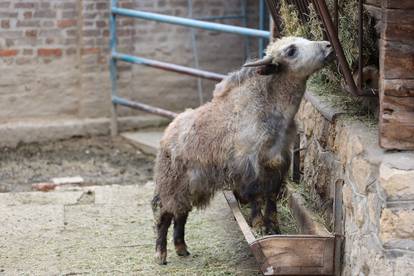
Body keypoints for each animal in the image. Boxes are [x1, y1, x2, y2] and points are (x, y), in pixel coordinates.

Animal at [152, 35, 334, 264]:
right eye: (291, 50)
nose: (328, 46)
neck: (268, 109)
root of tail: (168, 133)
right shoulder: (250, 166)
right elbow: (256, 196)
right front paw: (258, 225)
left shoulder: (277, 165)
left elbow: (271, 198)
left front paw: (274, 227)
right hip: (171, 184)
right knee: (164, 215)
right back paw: (161, 254)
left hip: (191, 186)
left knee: (181, 215)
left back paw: (181, 248)